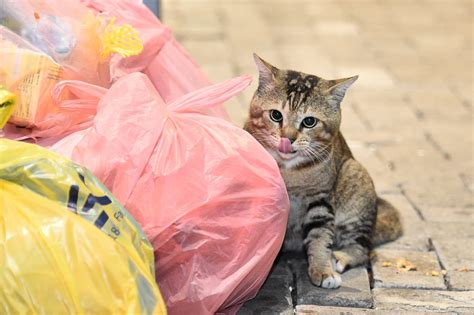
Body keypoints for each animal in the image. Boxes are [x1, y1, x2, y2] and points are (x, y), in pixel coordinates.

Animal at [244, 54, 404, 288]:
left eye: (309, 121)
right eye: (275, 115)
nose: (288, 138)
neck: (289, 171)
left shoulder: (320, 199)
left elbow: (319, 237)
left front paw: (322, 270)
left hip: (356, 179)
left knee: (364, 248)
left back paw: (340, 257)